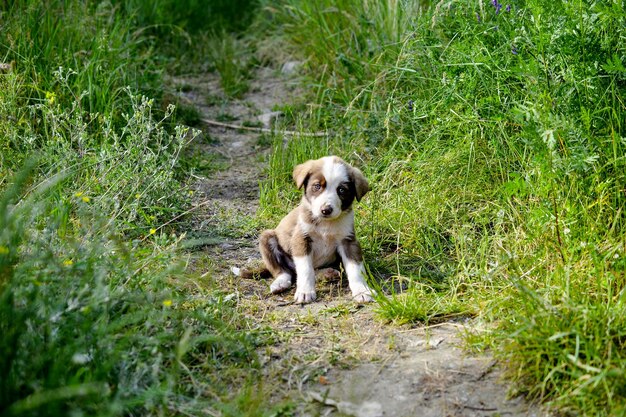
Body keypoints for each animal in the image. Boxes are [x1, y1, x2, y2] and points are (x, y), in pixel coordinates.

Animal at [258, 155, 370, 302]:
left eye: (341, 190)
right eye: (317, 186)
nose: (326, 210)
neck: (326, 224)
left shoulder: (348, 241)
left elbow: (355, 269)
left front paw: (362, 290)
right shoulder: (301, 238)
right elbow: (305, 269)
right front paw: (305, 292)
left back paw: (327, 273)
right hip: (267, 237)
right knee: (284, 271)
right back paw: (280, 283)